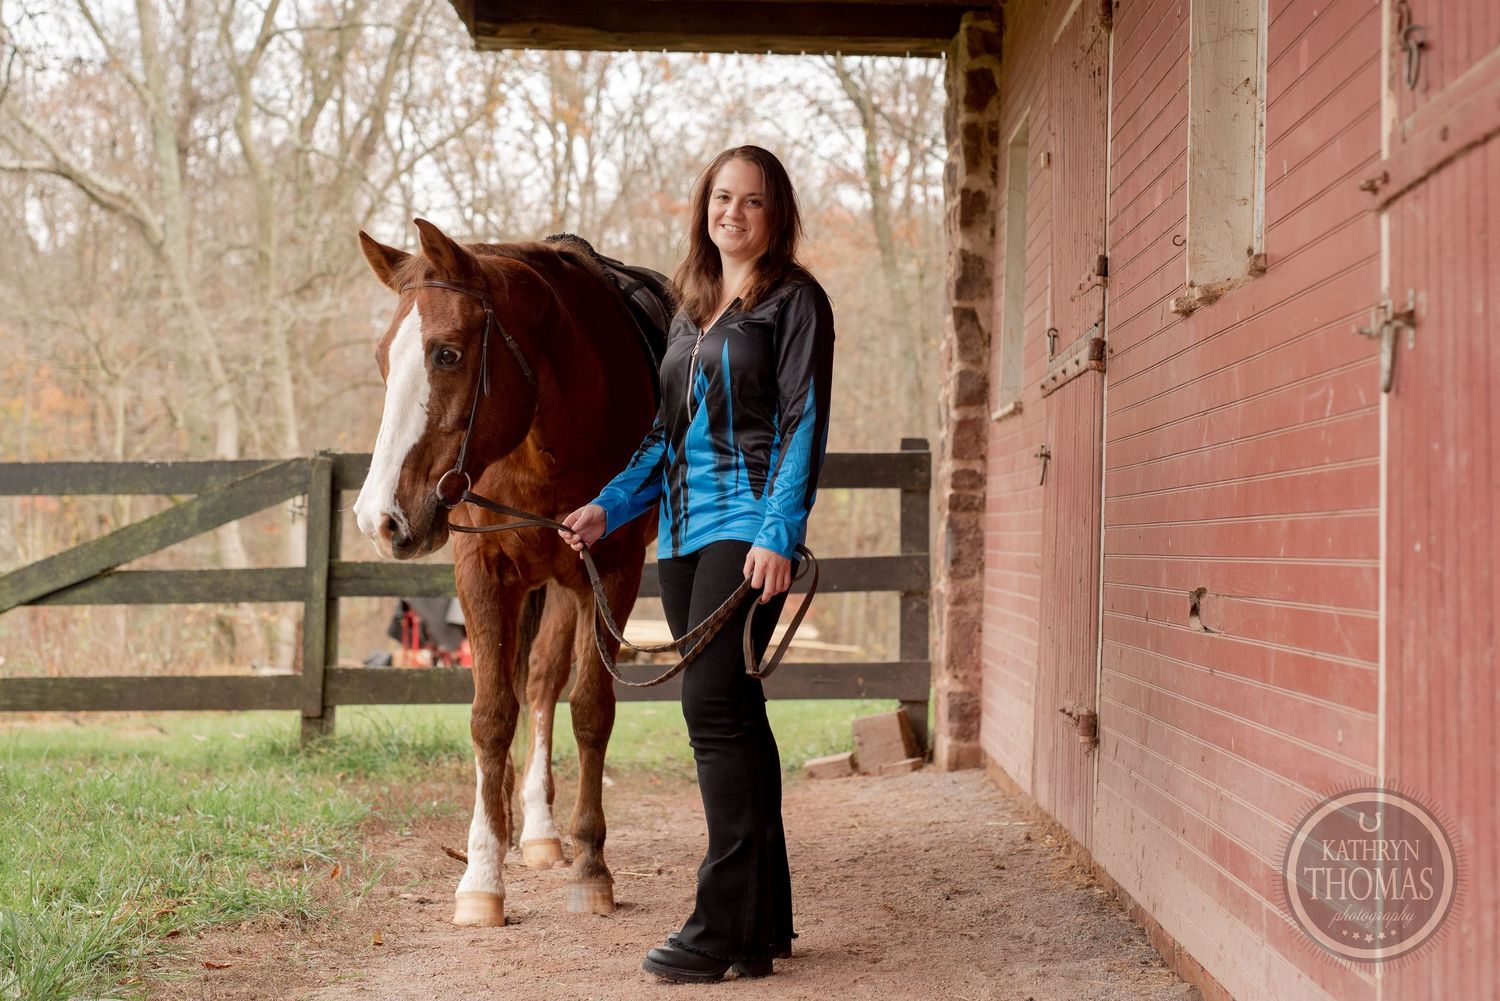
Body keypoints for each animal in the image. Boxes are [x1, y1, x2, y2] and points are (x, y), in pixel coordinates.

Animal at [351, 218, 665, 926]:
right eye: (383, 359)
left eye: (446, 354)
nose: (378, 518)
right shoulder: (484, 573)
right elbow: (491, 715)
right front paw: (481, 877)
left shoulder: (611, 571)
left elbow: (591, 712)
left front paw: (592, 866)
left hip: (570, 587)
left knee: (547, 683)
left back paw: (551, 834)